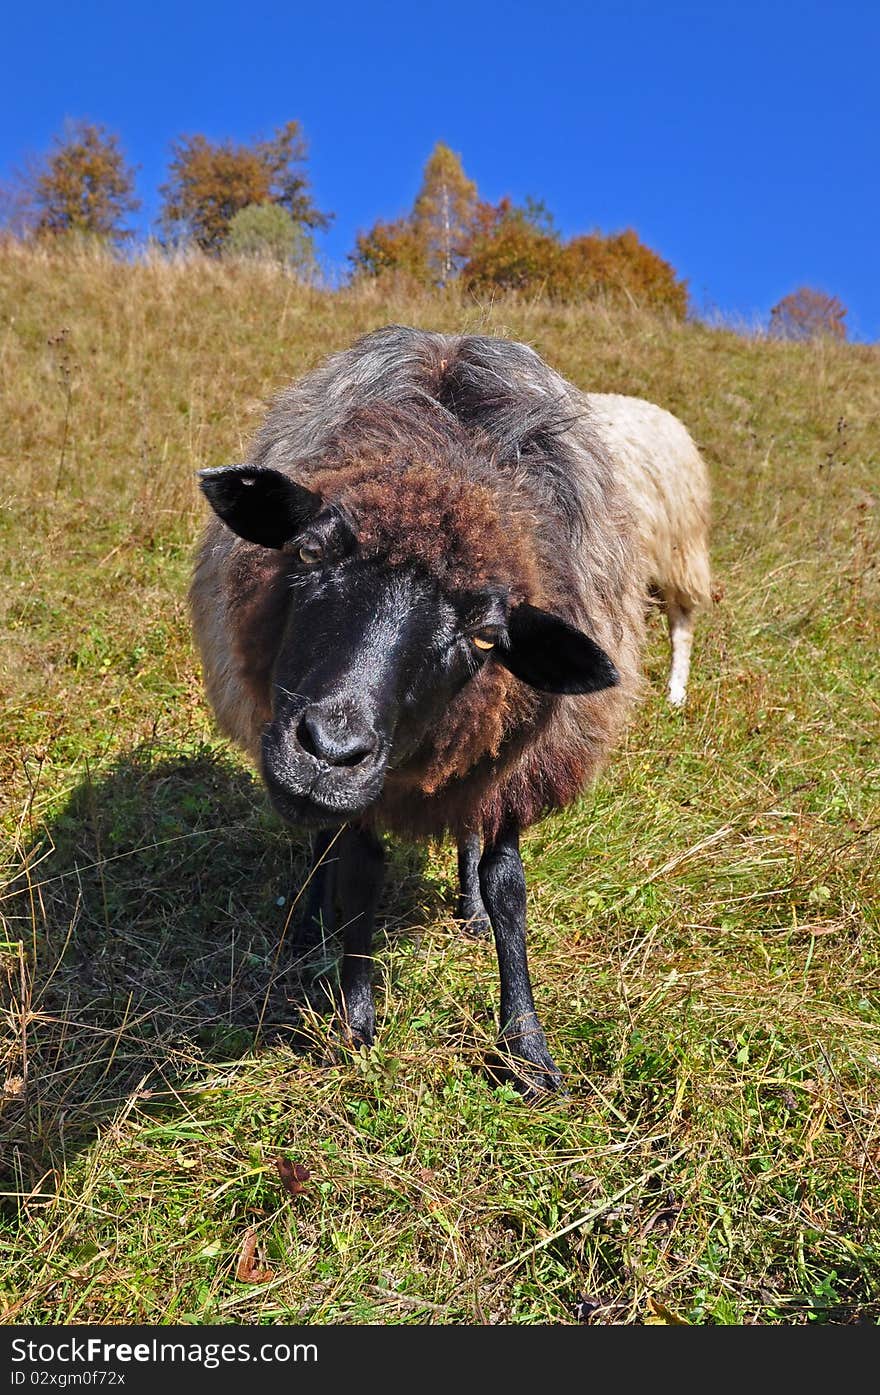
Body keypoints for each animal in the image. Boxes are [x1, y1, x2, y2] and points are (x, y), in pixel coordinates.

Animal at [192, 320, 644, 1093]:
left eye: (488, 636)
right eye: (308, 551)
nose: (328, 755)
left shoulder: (514, 767)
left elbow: (508, 886)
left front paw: (525, 1045)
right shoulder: (363, 793)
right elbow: (359, 873)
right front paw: (355, 1021)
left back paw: (465, 911)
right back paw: (309, 914)